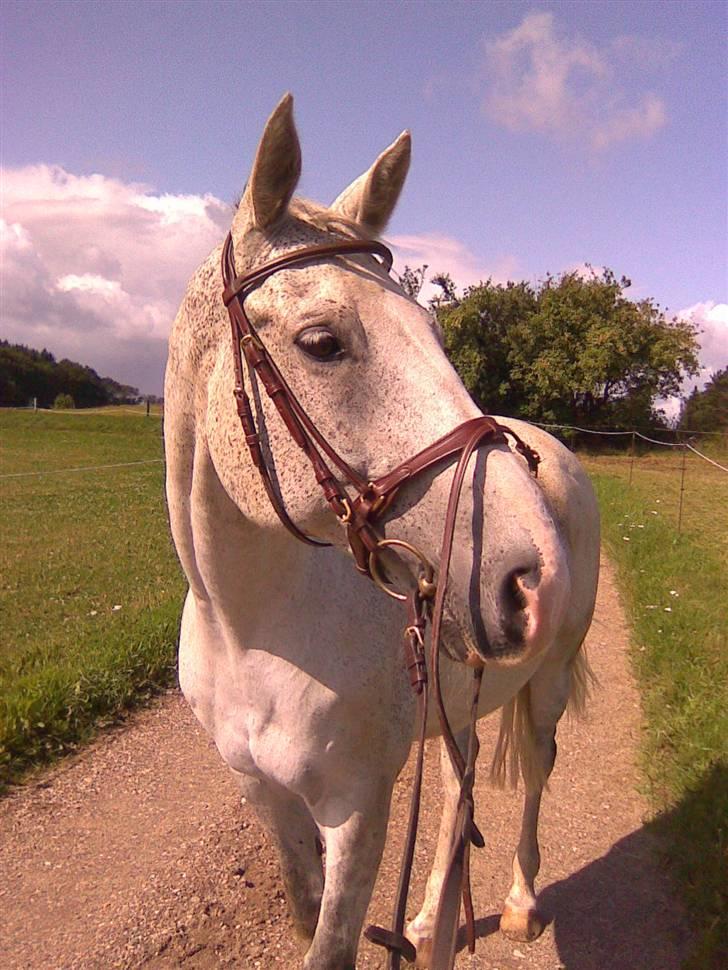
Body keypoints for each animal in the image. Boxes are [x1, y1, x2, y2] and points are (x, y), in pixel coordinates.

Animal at [164, 92, 596, 968]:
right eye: (321, 343)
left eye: (435, 334)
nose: (531, 578)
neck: (252, 634)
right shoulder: (268, 799)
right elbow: (306, 918)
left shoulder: (357, 812)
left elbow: (330, 945)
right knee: (457, 798)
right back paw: (431, 920)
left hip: (548, 684)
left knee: (536, 771)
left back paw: (520, 905)